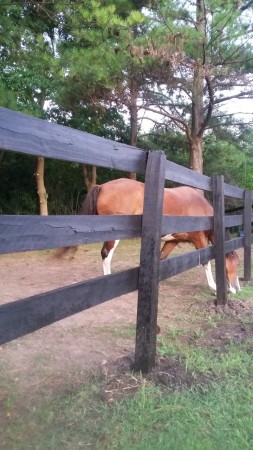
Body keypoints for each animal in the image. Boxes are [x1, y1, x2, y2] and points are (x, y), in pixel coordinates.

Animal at [68, 178, 240, 294]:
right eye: (236, 264)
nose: (237, 288)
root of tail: (102, 186)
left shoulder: (173, 241)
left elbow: (161, 257)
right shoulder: (199, 239)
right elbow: (206, 261)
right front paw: (214, 286)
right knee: (106, 254)